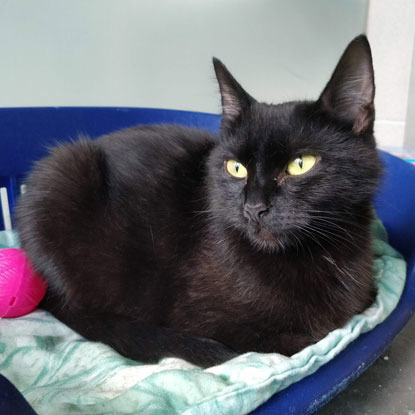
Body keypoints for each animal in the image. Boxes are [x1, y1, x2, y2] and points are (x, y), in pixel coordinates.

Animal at [14, 35, 382, 368]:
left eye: (300, 164)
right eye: (236, 168)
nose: (253, 208)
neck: (314, 253)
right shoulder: (207, 319)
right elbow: (305, 336)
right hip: (63, 172)